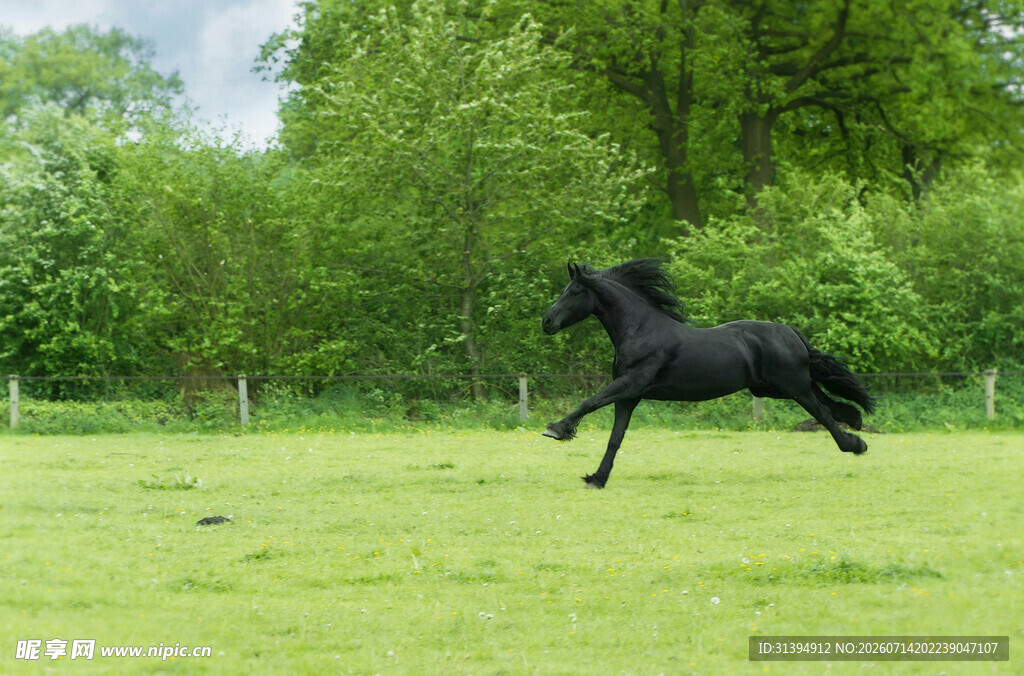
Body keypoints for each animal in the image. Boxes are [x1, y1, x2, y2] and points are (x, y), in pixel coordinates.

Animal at [540, 258, 876, 488]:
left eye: (574, 292)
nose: (546, 322)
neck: (640, 330)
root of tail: (791, 332)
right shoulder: (629, 396)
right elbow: (615, 438)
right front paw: (597, 478)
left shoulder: (630, 384)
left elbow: (590, 402)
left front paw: (557, 429)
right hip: (775, 388)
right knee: (830, 404)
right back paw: (855, 421)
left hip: (793, 386)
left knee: (823, 412)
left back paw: (854, 444)